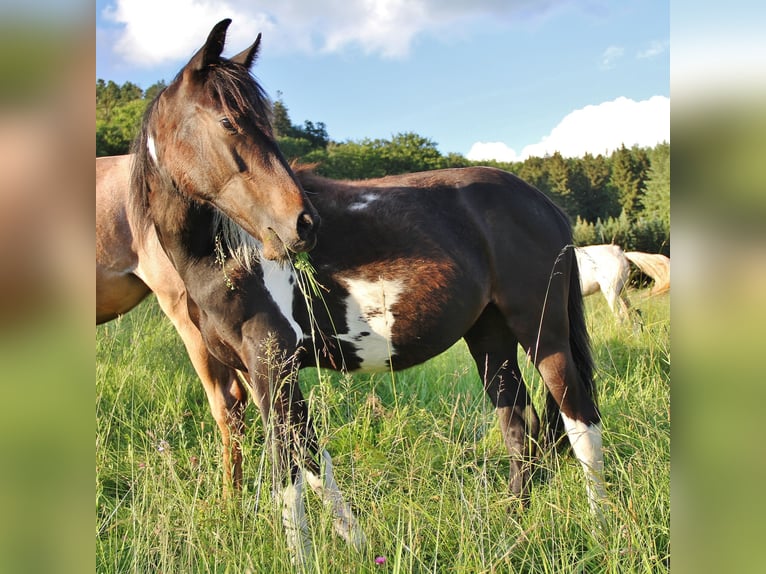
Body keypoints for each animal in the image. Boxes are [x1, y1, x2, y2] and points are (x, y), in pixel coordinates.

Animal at [100, 19, 608, 568]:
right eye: (227, 121)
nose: (302, 224)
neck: (229, 256)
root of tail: (543, 204)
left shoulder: (272, 366)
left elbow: (288, 475)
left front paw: (301, 559)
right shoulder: (264, 373)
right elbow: (313, 459)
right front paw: (358, 546)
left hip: (543, 333)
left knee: (580, 421)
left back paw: (600, 526)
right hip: (490, 337)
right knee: (520, 430)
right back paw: (509, 532)